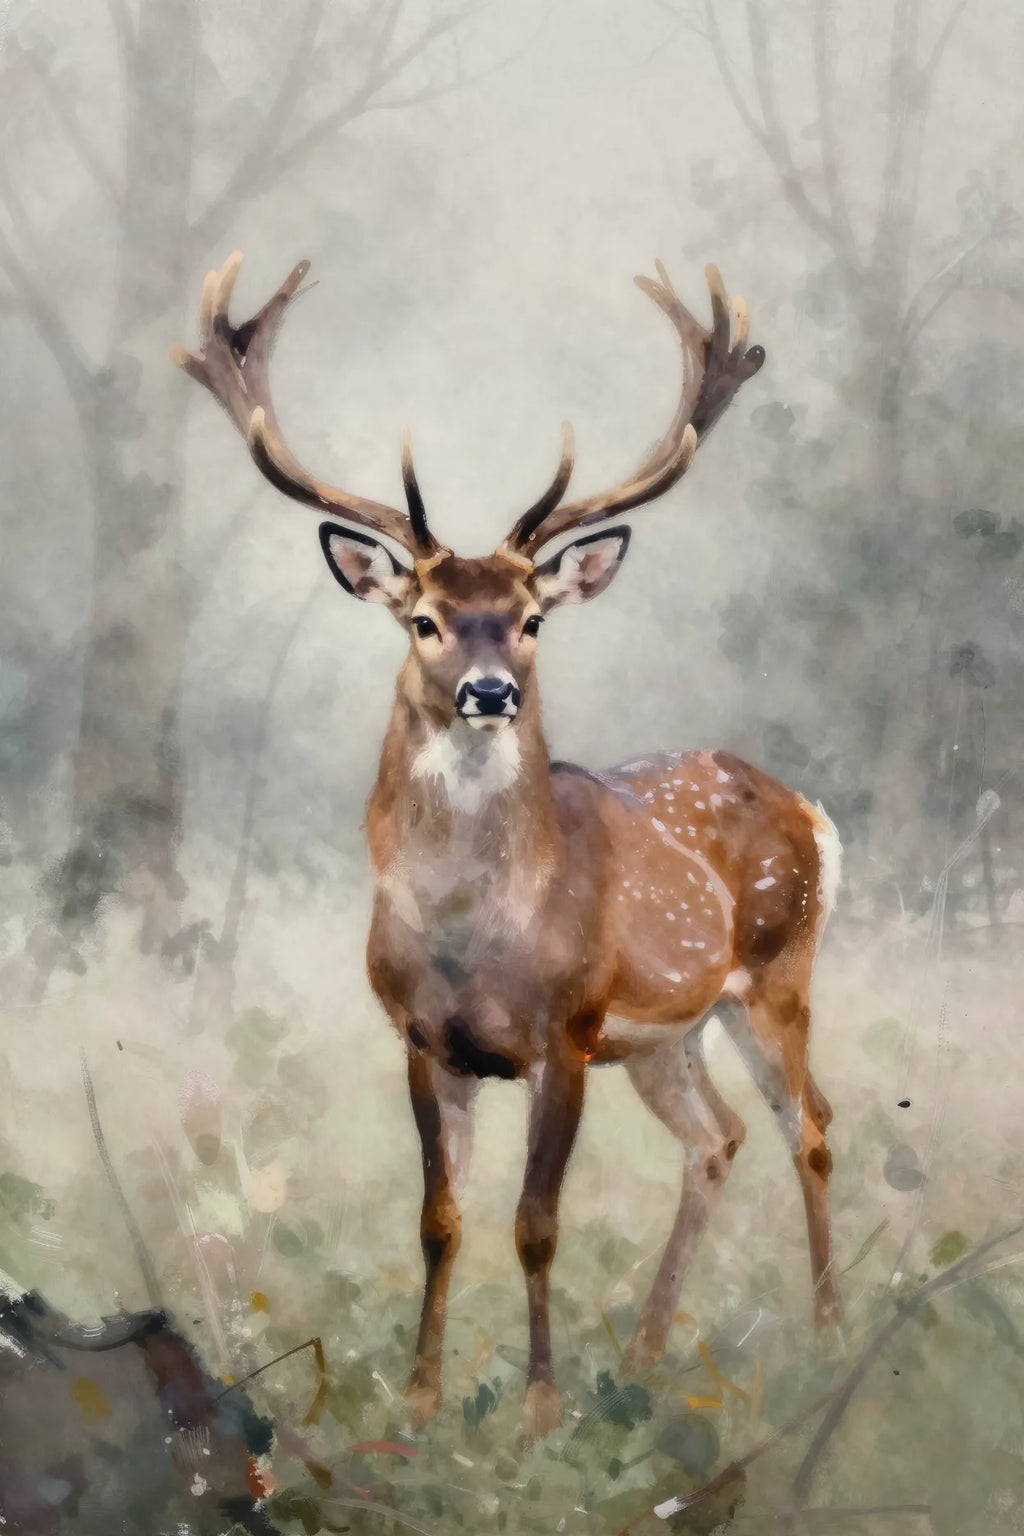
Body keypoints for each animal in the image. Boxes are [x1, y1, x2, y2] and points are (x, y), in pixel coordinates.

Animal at [173, 251, 843, 1444]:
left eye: (532, 618)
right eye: (424, 620)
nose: (490, 691)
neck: (470, 942)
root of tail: (808, 811)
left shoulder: (564, 1031)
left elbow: (535, 1221)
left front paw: (536, 1408)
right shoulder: (423, 1039)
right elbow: (439, 1218)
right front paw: (422, 1398)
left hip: (777, 969)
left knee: (809, 1125)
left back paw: (826, 1336)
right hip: (668, 1035)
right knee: (717, 1137)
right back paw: (647, 1348)